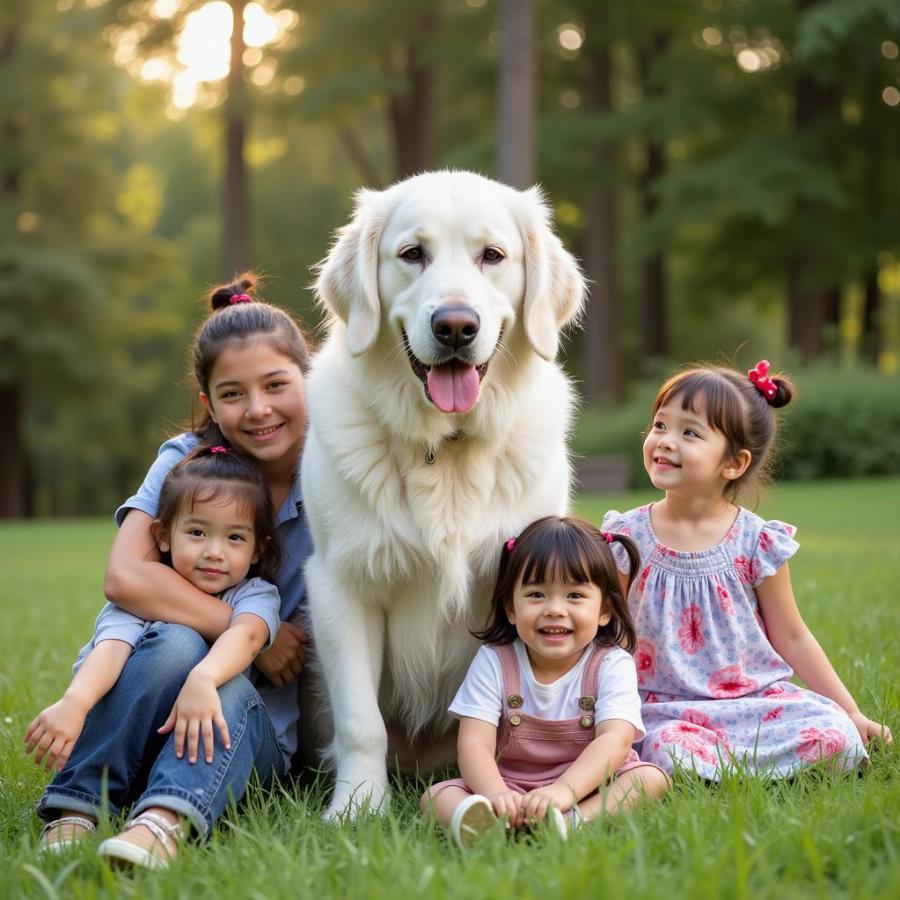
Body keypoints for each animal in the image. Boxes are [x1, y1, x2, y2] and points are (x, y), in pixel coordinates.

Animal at [302, 169, 584, 816]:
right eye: (412, 254)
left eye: (493, 256)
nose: (456, 325)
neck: (447, 450)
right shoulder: (340, 584)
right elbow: (360, 721)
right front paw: (357, 808)